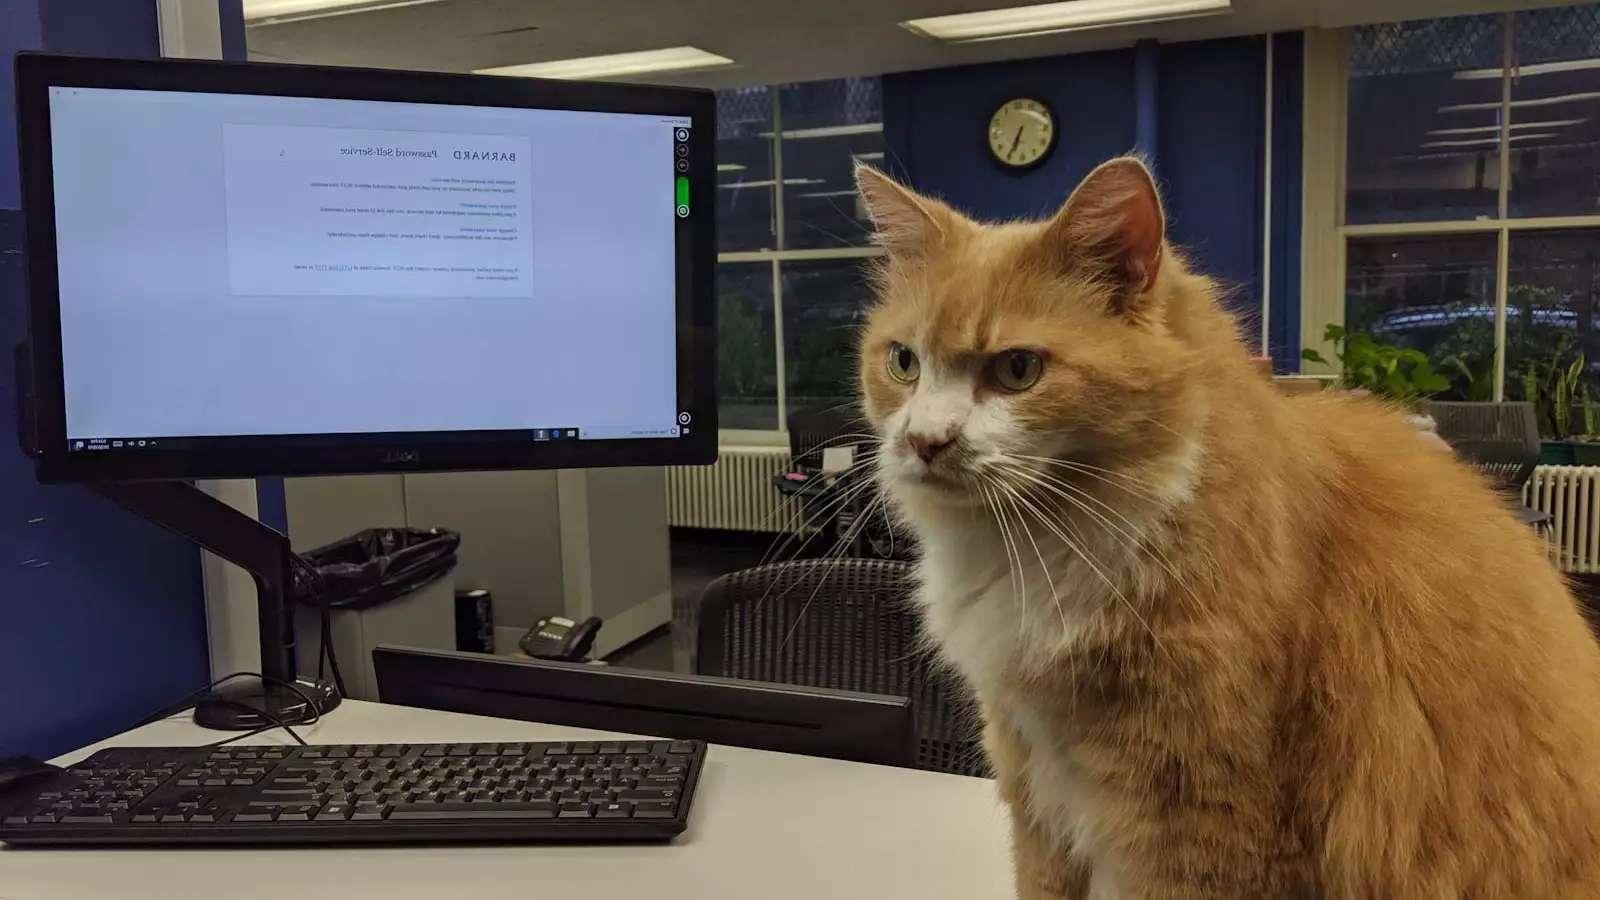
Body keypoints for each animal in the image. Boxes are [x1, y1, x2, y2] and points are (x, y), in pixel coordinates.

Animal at [857, 157, 1600, 890]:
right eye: (903, 362)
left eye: (1017, 370)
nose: (923, 442)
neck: (1049, 546)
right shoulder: (1035, 789)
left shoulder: (1199, 813)